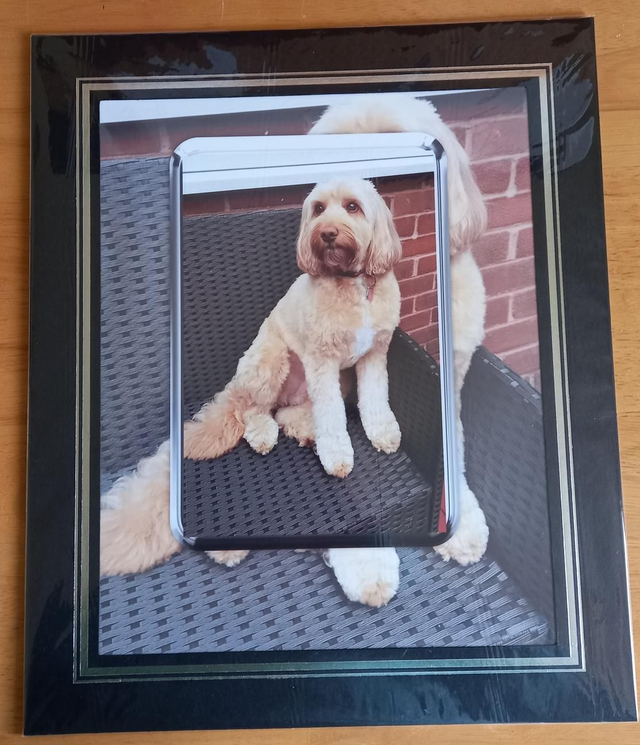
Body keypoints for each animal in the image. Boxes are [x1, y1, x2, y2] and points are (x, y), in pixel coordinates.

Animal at [100, 95, 489, 607]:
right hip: (271, 361)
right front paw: (341, 463)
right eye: (318, 207)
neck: (355, 284)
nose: (326, 233)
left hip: (314, 381)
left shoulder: (375, 356)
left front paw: (383, 436)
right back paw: (263, 450)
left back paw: (303, 432)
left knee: (294, 412)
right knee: (253, 411)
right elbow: (337, 428)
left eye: (353, 207)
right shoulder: (321, 359)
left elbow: (380, 404)